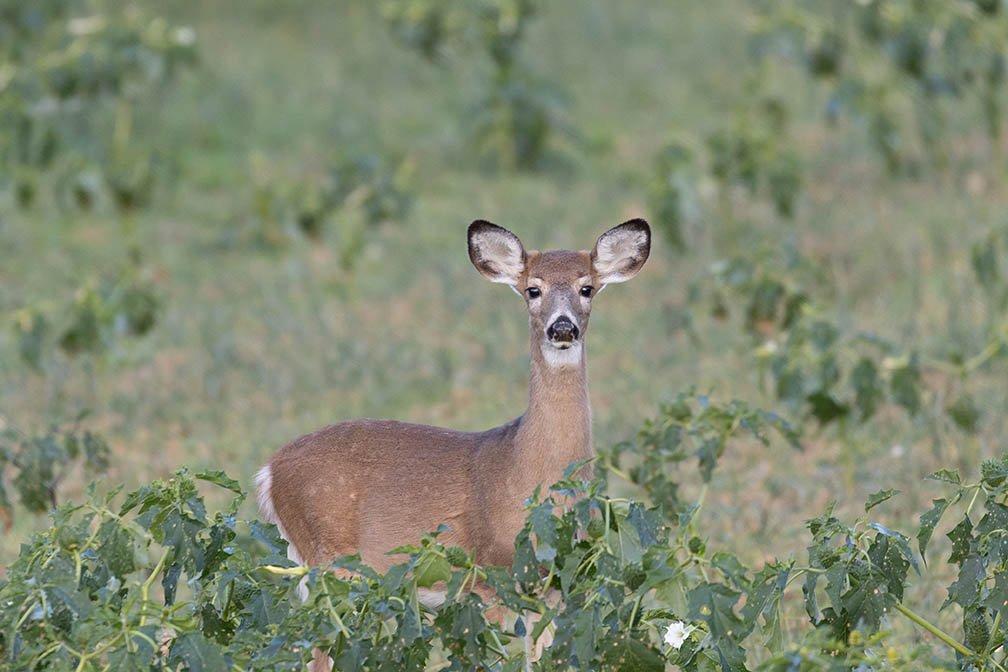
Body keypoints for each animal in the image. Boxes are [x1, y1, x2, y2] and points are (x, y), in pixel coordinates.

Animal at [255, 218, 650, 669]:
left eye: (587, 287)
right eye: (533, 289)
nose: (563, 327)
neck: (526, 469)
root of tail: (269, 470)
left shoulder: (554, 590)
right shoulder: (491, 577)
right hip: (330, 562)